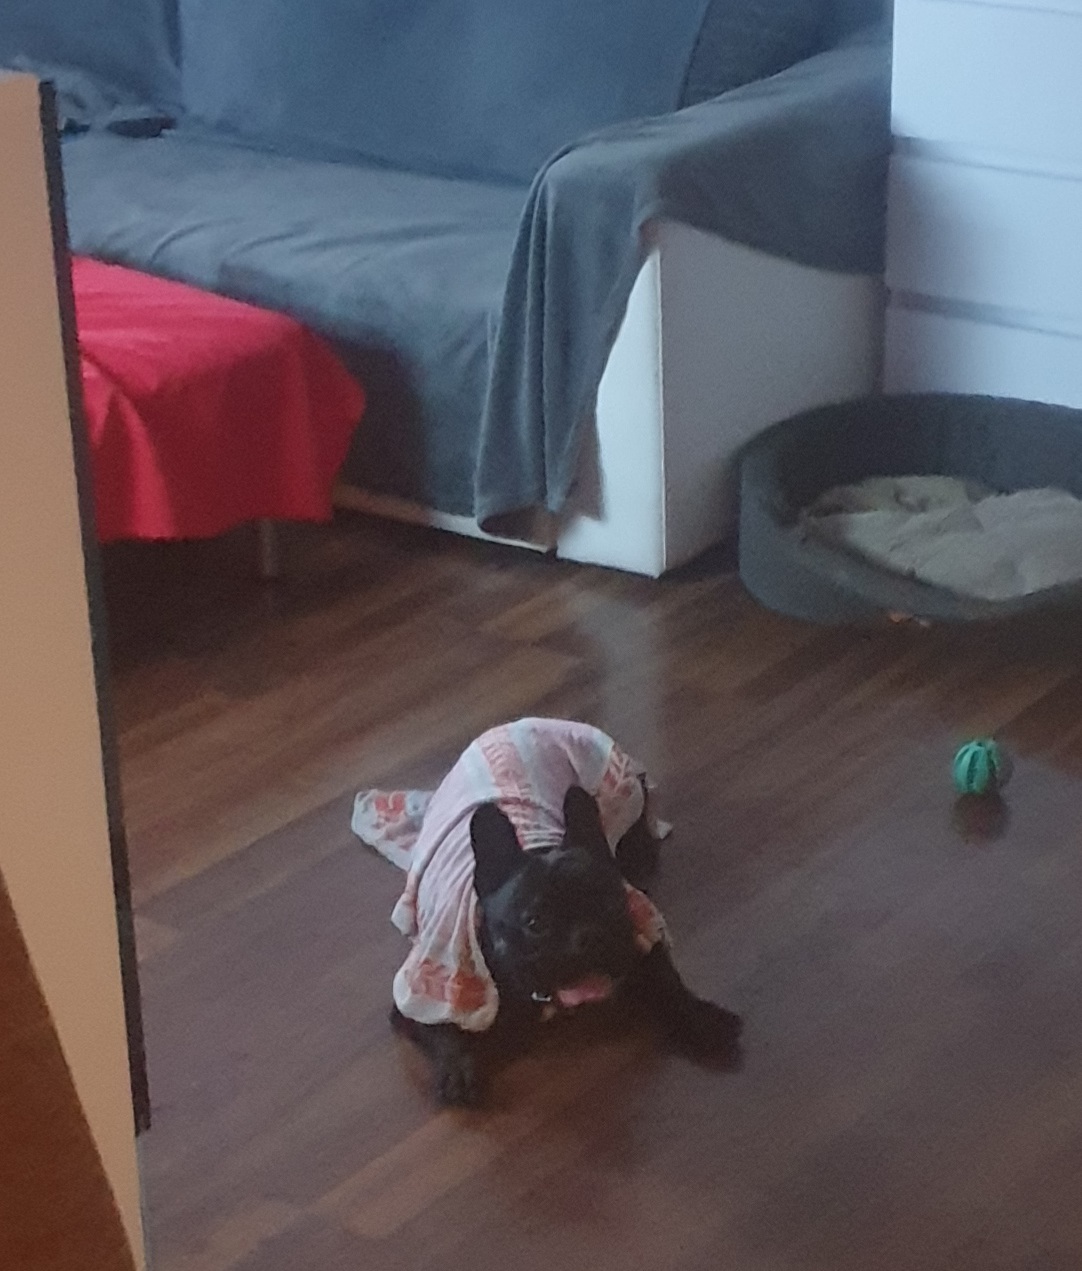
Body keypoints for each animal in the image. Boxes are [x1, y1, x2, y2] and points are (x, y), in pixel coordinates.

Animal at [390, 779, 742, 1106]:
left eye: (611, 902)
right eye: (535, 923)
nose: (590, 935)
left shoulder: (643, 932)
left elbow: (666, 979)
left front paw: (699, 1016)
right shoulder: (424, 991)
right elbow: (442, 1029)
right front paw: (457, 1070)